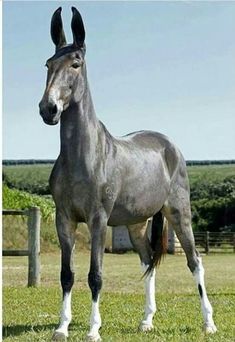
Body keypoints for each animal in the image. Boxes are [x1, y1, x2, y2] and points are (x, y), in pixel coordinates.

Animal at [39, 6, 217, 340]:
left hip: (179, 213)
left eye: (76, 63)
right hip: (136, 223)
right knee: (148, 262)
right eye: (48, 64)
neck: (83, 157)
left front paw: (93, 329)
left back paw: (208, 323)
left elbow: (95, 275)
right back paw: (146, 321)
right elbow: (67, 274)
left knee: (195, 262)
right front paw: (62, 327)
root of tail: (169, 146)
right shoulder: (64, 219)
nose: (49, 109)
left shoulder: (97, 219)